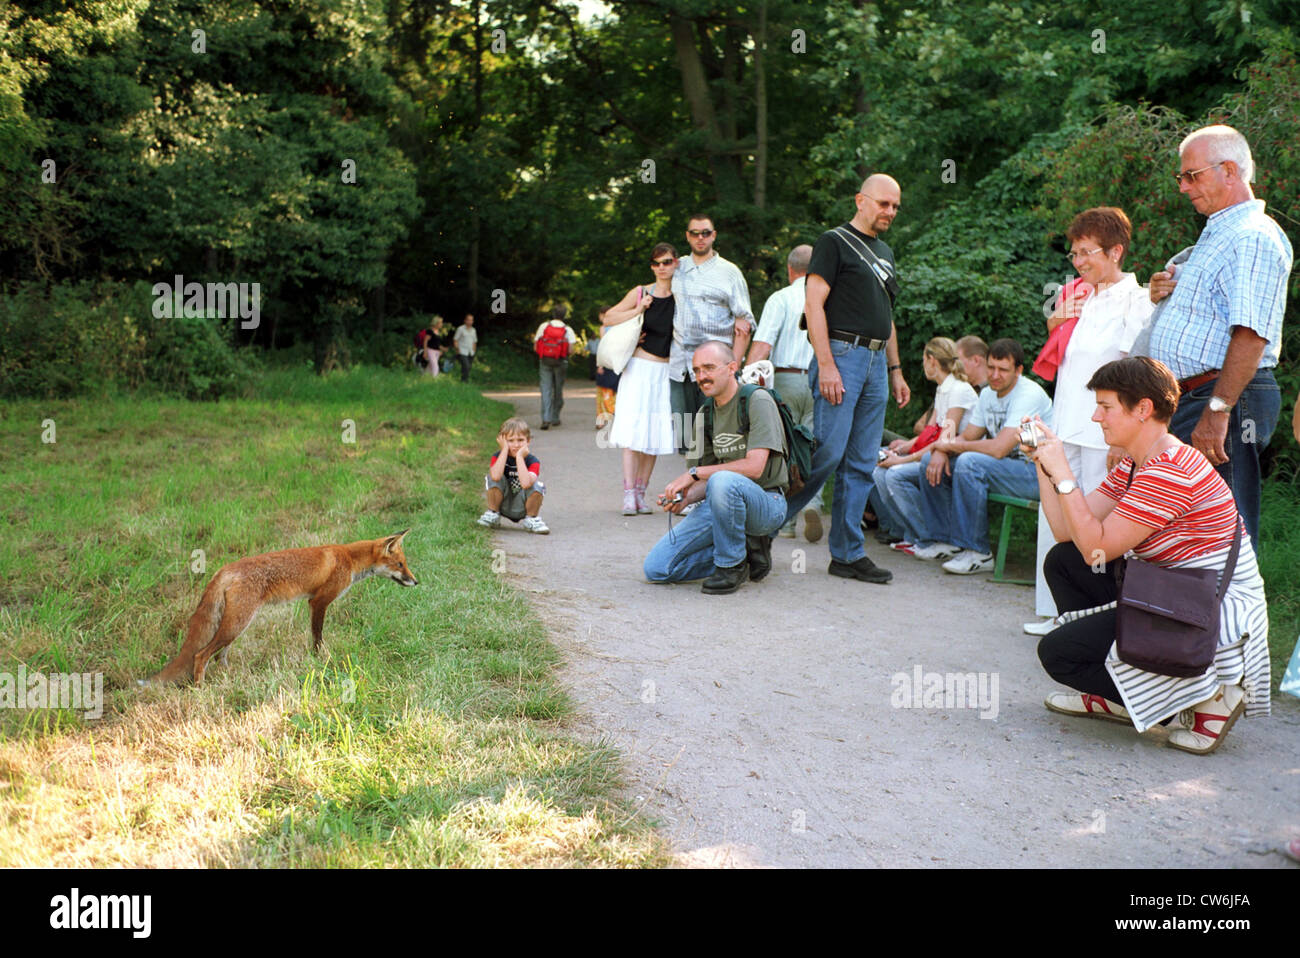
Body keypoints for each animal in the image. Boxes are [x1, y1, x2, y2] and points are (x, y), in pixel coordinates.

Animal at [143, 530, 416, 681]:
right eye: (400, 565)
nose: (416, 581)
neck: (348, 558)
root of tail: (224, 569)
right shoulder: (318, 601)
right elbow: (317, 638)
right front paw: (319, 661)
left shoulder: (313, 602)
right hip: (237, 623)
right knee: (200, 656)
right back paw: (200, 691)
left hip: (235, 625)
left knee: (220, 656)